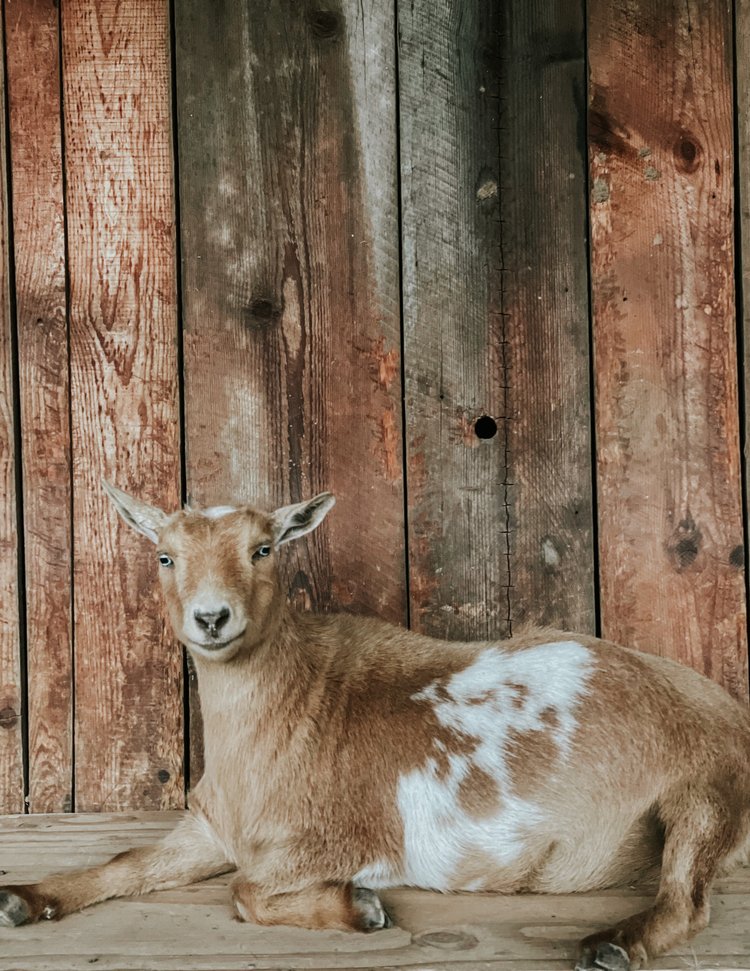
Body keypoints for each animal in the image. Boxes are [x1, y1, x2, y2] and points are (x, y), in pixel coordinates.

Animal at [1, 482, 750, 968]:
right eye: (164, 556)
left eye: (264, 549)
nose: (212, 618)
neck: (285, 710)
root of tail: (726, 706)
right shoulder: (212, 826)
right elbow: (128, 862)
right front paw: (27, 898)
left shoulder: (342, 836)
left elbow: (244, 891)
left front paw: (359, 908)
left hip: (706, 787)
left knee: (688, 899)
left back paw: (612, 946)